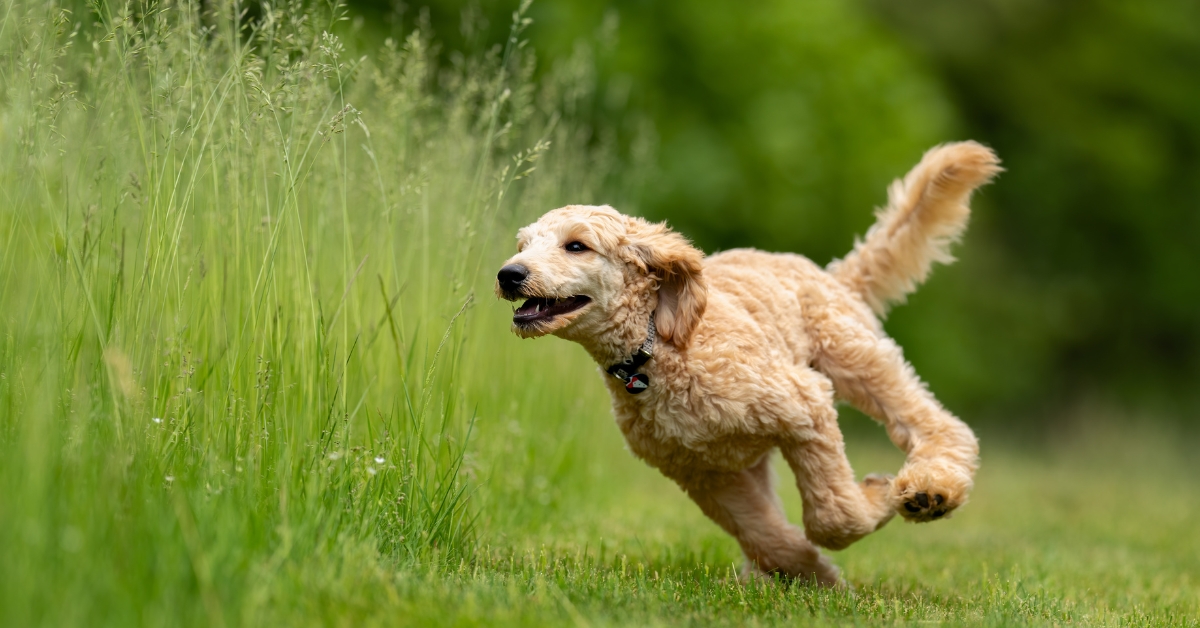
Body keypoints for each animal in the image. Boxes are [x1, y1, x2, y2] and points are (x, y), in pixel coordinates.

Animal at [496, 141, 1003, 585]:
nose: (508, 273)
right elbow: (764, 532)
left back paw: (931, 491)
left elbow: (833, 515)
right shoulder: (703, 473)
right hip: (754, 452)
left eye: (576, 246)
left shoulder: (804, 405)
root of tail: (830, 274)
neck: (656, 352)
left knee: (937, 424)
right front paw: (810, 574)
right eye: (522, 245)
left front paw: (876, 499)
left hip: (854, 357)